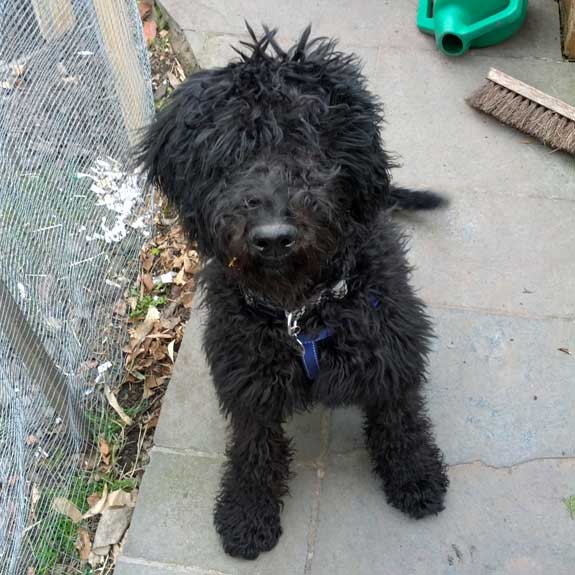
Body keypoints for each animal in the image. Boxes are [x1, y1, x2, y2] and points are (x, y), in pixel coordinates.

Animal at [141, 24, 450, 560]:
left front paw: (415, 475)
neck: (299, 312)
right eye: (228, 154)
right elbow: (254, 448)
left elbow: (400, 418)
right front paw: (246, 513)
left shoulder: (392, 347)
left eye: (307, 142)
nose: (272, 236)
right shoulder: (246, 378)